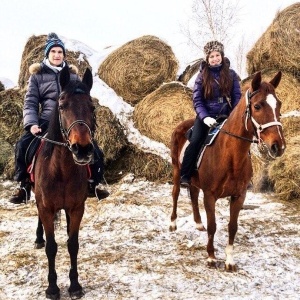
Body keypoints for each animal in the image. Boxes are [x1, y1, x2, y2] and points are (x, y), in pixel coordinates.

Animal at [32, 66, 95, 300]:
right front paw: (52, 288)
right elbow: (51, 247)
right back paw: (38, 238)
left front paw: (75, 285)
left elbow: (72, 244)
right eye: (62, 105)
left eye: (92, 106)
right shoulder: (46, 208)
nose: (82, 149)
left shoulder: (76, 208)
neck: (61, 171)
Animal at [169, 71, 286, 270]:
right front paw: (211, 257)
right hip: (177, 170)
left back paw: (198, 223)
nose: (278, 146)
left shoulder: (239, 196)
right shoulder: (210, 196)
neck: (231, 156)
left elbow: (232, 226)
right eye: (257, 106)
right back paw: (173, 223)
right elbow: (213, 225)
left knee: (193, 194)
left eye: (278, 104)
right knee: (176, 193)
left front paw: (229, 260)